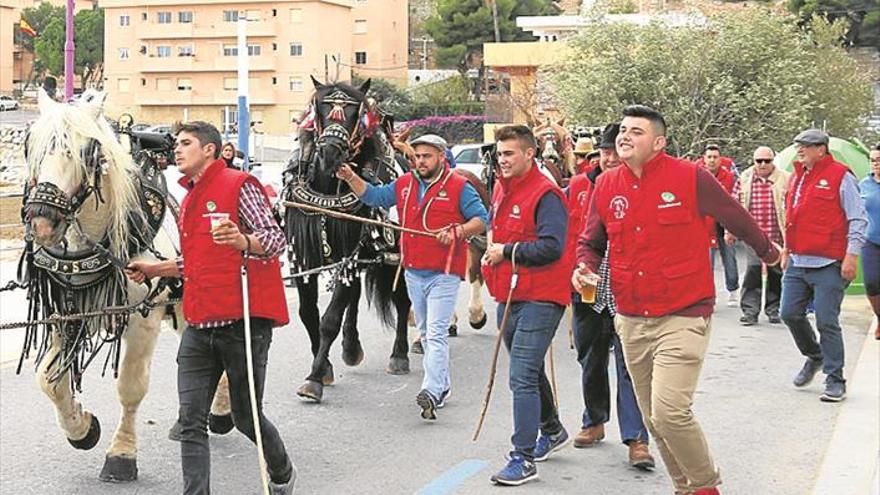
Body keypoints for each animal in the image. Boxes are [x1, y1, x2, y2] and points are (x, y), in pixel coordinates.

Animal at [20, 91, 230, 482]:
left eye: (89, 151)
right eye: (30, 146)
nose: (43, 221)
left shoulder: (142, 319)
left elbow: (131, 387)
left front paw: (121, 454)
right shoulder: (64, 315)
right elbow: (50, 381)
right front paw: (82, 428)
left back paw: (222, 412)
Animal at [284, 78, 414, 404]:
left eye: (356, 113)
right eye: (321, 107)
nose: (330, 152)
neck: (327, 188)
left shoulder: (350, 255)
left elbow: (330, 318)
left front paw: (314, 378)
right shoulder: (304, 257)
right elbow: (308, 313)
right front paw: (325, 366)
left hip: (397, 255)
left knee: (403, 301)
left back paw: (399, 355)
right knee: (353, 296)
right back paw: (351, 347)